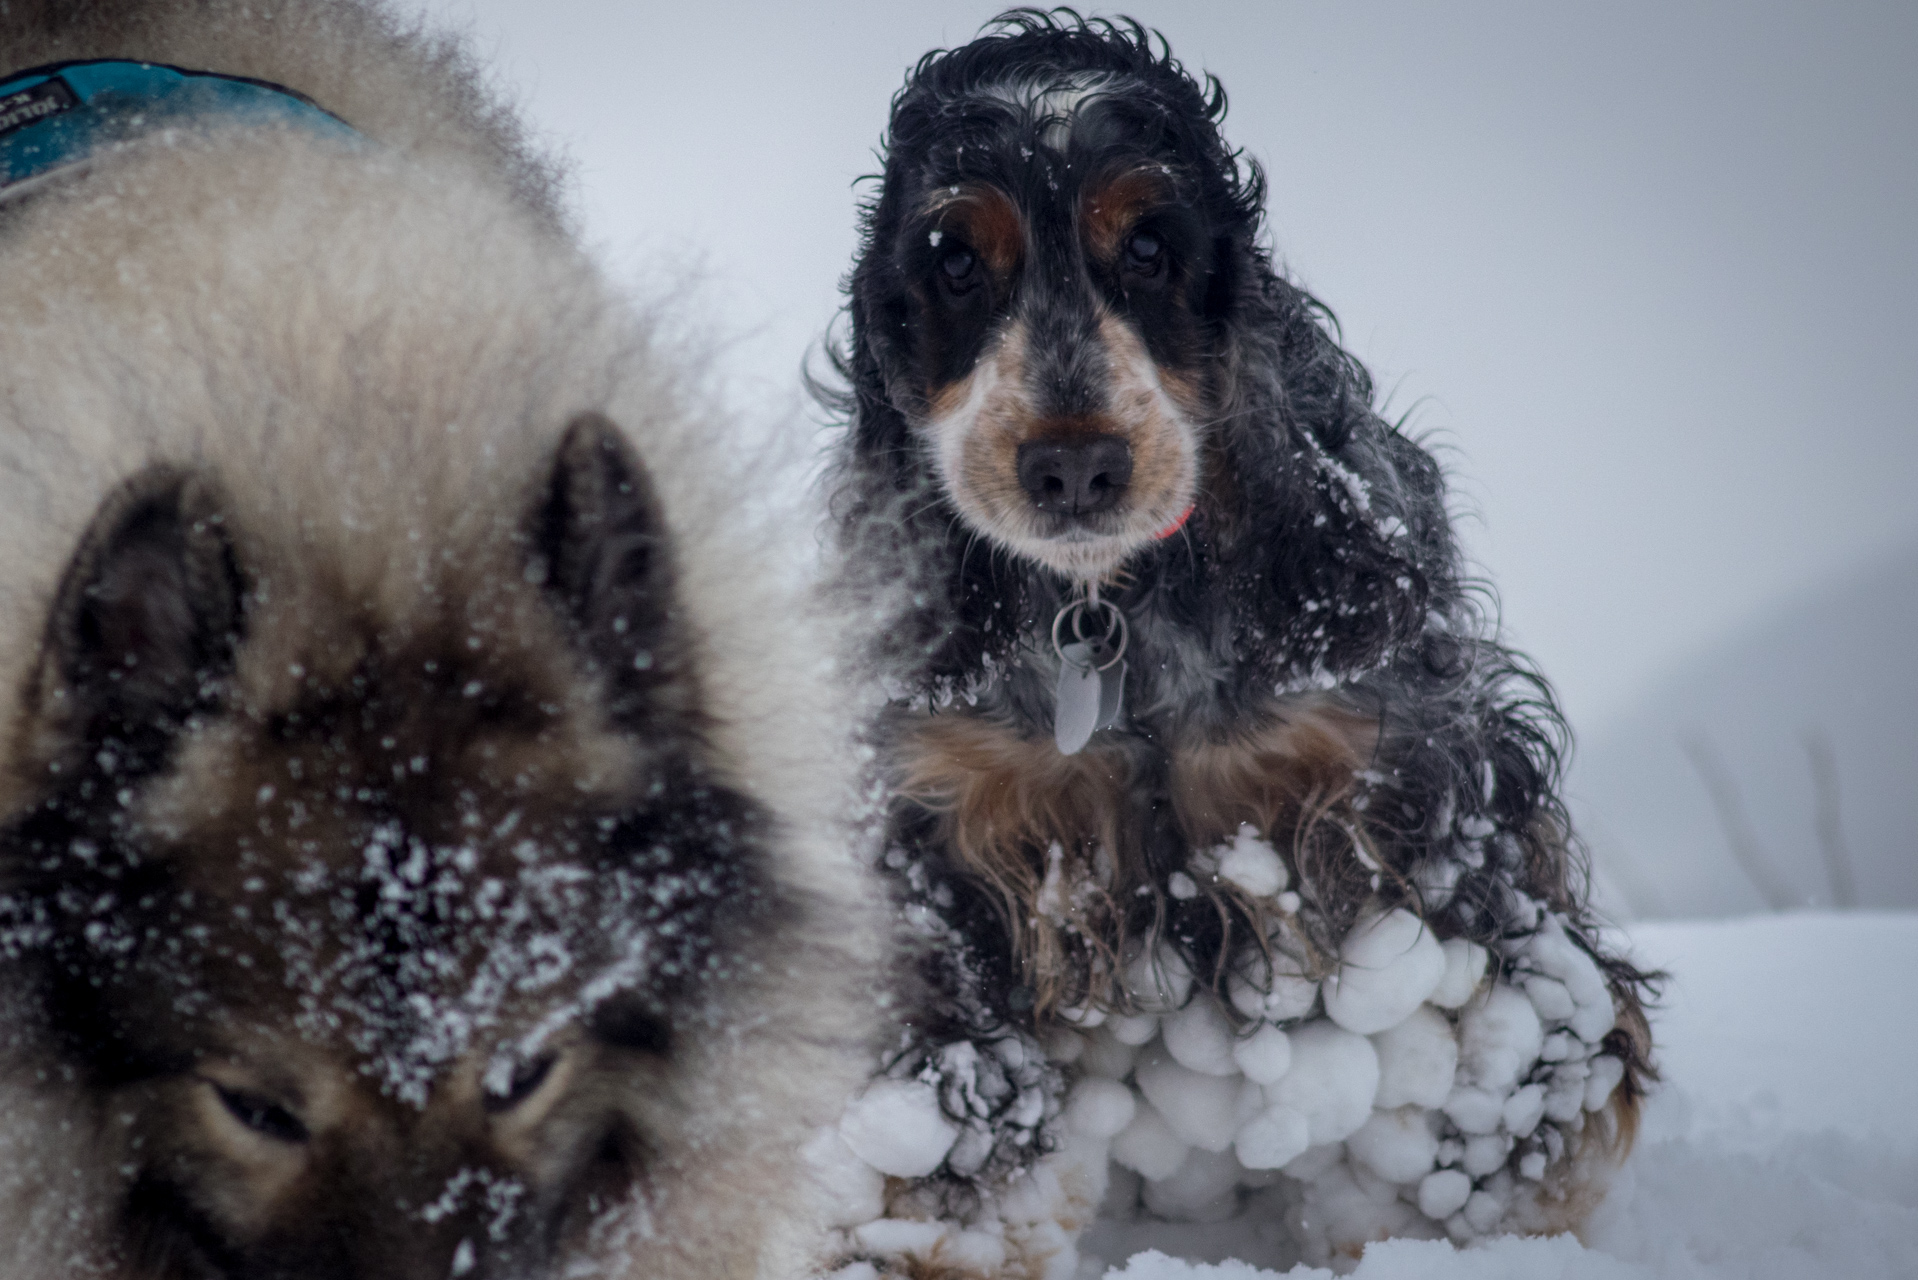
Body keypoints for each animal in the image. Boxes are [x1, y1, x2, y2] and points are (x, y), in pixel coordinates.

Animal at [817, 12, 1657, 1280]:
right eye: (954, 259)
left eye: (1150, 245)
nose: (1074, 466)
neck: (1105, 608)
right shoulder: (948, 821)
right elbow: (948, 1081)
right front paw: (927, 1239)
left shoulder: (1386, 777)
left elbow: (1486, 1020)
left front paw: (1460, 1219)